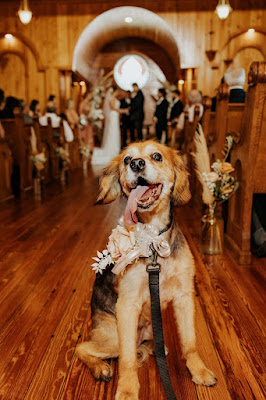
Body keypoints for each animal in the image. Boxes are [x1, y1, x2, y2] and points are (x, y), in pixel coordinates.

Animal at [76, 141, 217, 400]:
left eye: (157, 156)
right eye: (126, 159)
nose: (136, 164)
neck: (153, 241)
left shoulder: (184, 297)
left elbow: (190, 342)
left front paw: (199, 371)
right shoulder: (128, 305)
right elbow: (128, 359)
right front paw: (128, 390)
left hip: (152, 324)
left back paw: (155, 347)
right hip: (113, 337)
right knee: (83, 347)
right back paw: (100, 367)